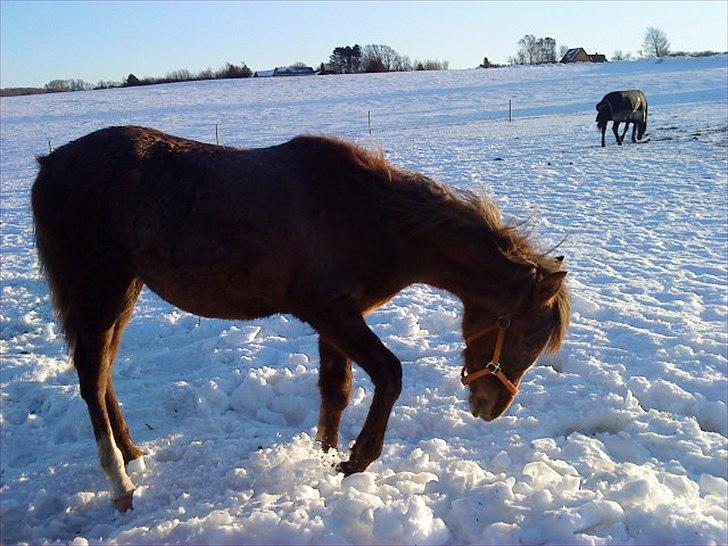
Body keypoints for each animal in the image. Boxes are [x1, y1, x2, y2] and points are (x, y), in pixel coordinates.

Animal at [32, 126, 568, 510]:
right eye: (525, 336)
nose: (490, 406)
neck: (366, 217)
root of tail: (51, 164)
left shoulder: (339, 320)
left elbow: (337, 390)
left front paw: (325, 456)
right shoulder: (330, 313)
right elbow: (389, 375)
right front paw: (356, 460)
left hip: (125, 290)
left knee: (103, 375)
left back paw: (132, 453)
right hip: (101, 292)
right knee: (91, 379)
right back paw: (120, 482)